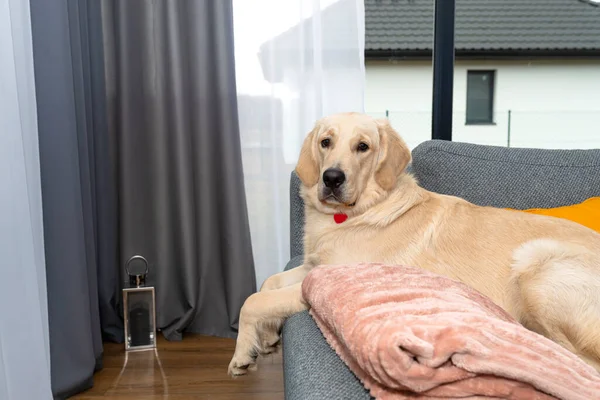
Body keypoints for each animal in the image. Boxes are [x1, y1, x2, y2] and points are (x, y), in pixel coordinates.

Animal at [229, 111, 600, 376]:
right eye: (326, 142)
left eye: (362, 146)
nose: (332, 178)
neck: (358, 211)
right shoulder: (311, 266)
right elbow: (268, 283)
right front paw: (266, 337)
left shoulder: (325, 277)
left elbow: (254, 300)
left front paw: (242, 354)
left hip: (535, 266)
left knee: (579, 362)